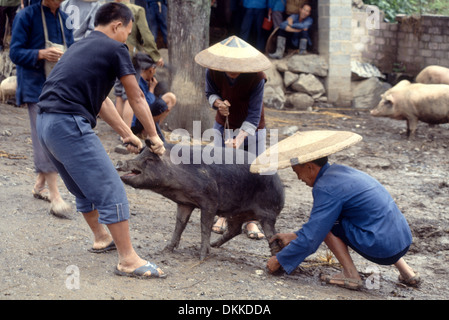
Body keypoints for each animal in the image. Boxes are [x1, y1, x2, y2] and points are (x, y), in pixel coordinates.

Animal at [116, 141, 284, 262]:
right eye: (139, 155)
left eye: (149, 159)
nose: (119, 163)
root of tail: (280, 185)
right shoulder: (185, 203)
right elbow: (180, 224)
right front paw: (166, 249)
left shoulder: (210, 201)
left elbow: (205, 226)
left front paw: (202, 256)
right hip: (236, 213)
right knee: (235, 230)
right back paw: (215, 245)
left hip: (267, 212)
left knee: (271, 236)